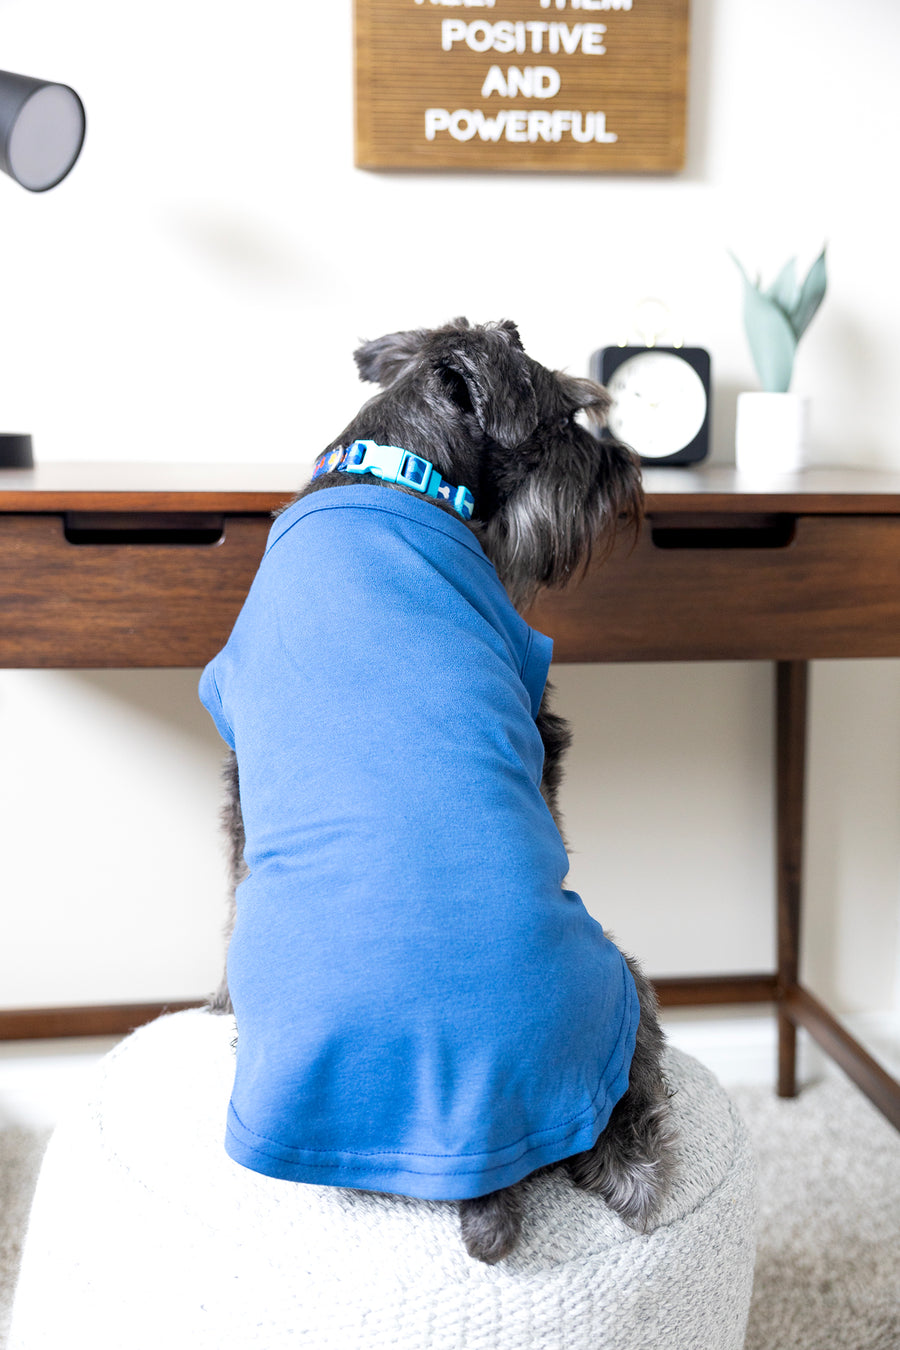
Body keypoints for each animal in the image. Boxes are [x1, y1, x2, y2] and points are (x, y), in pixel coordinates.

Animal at [203, 318, 674, 1263]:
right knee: (624, 1104)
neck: (395, 468)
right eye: (565, 416)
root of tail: (473, 1135)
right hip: (628, 978)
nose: (622, 469)